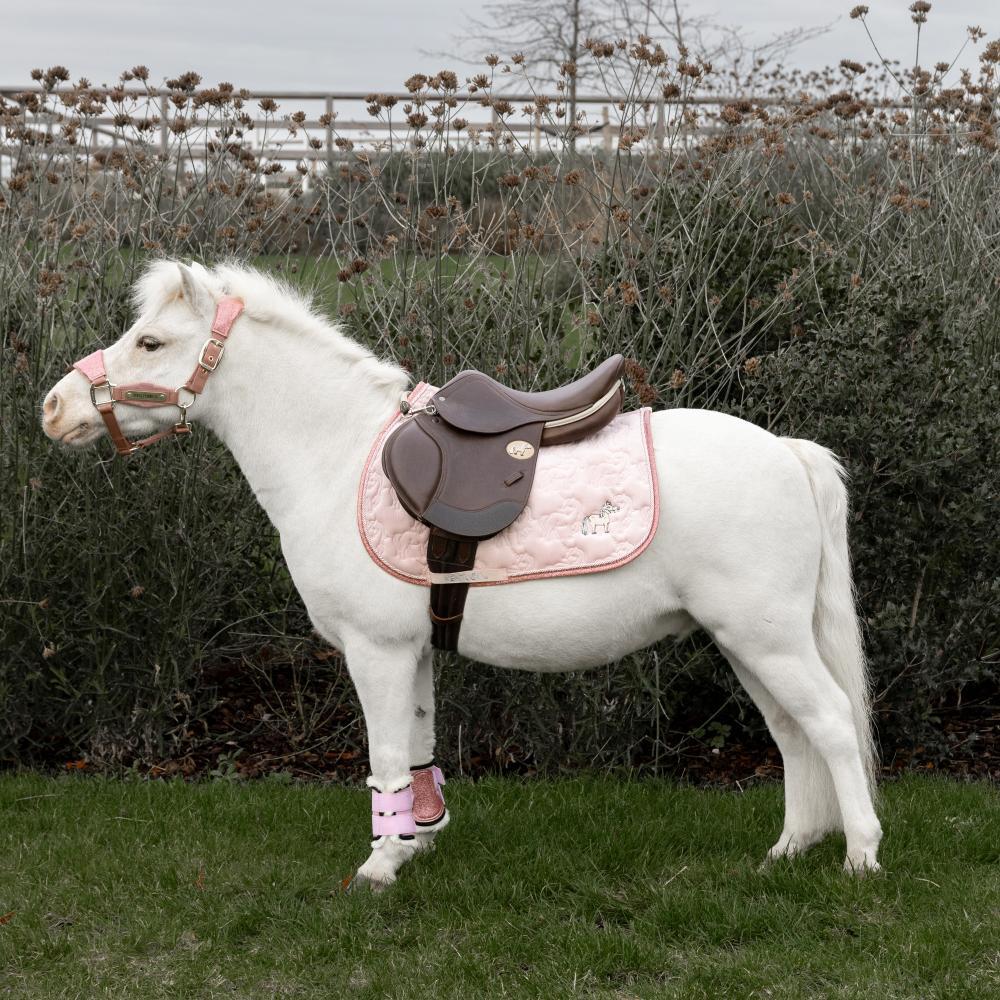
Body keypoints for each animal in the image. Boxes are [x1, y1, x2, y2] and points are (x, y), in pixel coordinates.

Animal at [41, 260, 882, 887]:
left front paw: (381, 865)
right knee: (792, 733)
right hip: (747, 643)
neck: (337, 456)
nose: (54, 407)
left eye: (151, 341)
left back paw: (861, 856)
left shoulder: (375, 651)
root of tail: (788, 453)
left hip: (766, 638)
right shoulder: (411, 652)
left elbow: (384, 758)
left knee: (832, 723)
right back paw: (790, 849)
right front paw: (417, 839)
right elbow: (417, 748)